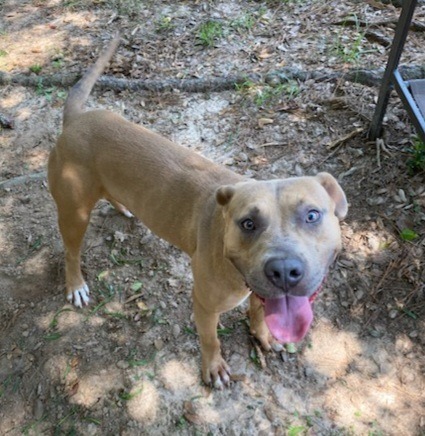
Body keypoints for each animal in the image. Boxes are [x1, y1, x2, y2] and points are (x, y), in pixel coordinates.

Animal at [48, 35, 348, 388]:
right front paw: (214, 368)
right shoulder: (205, 303)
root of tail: (76, 119)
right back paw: (75, 285)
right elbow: (210, 339)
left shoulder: (263, 295)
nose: (285, 271)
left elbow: (260, 313)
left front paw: (262, 335)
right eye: (248, 223)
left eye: (312, 215)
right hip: (74, 213)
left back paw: (123, 206)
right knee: (70, 251)